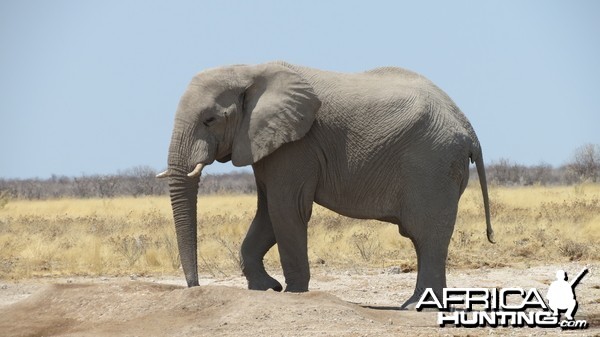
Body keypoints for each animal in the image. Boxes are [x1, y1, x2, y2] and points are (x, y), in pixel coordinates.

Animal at [157, 60, 494, 308]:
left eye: (210, 119)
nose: (195, 287)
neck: (250, 70)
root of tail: (469, 130)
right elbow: (268, 213)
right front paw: (266, 289)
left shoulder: (297, 145)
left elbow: (286, 209)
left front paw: (293, 293)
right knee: (425, 239)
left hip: (432, 165)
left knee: (426, 235)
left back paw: (415, 307)